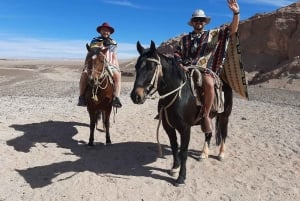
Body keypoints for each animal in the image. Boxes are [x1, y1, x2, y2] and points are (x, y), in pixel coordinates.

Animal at [130, 40, 233, 187]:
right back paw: (203, 154)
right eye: (136, 67)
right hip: (208, 118)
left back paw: (221, 154)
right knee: (208, 132)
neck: (176, 95)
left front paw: (181, 177)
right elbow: (174, 147)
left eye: (151, 67)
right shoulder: (168, 127)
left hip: (224, 116)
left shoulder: (185, 129)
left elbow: (183, 152)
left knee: (223, 133)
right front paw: (174, 168)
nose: (136, 96)